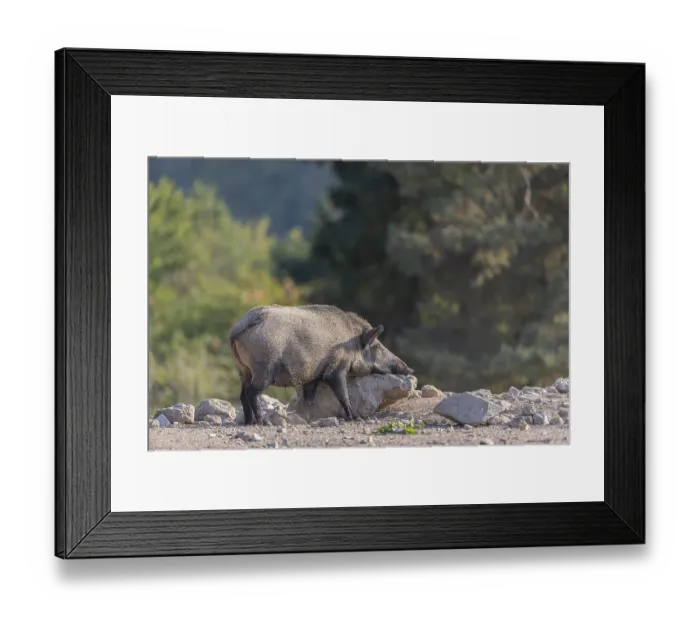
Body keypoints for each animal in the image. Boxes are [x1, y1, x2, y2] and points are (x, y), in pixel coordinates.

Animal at [228, 304, 413, 425]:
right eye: (376, 346)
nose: (409, 368)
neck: (350, 341)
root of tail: (238, 327)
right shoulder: (336, 368)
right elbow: (343, 394)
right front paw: (355, 418)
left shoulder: (312, 377)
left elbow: (309, 399)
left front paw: (307, 419)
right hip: (264, 368)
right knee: (252, 393)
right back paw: (263, 422)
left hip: (243, 370)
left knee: (242, 394)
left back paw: (249, 422)